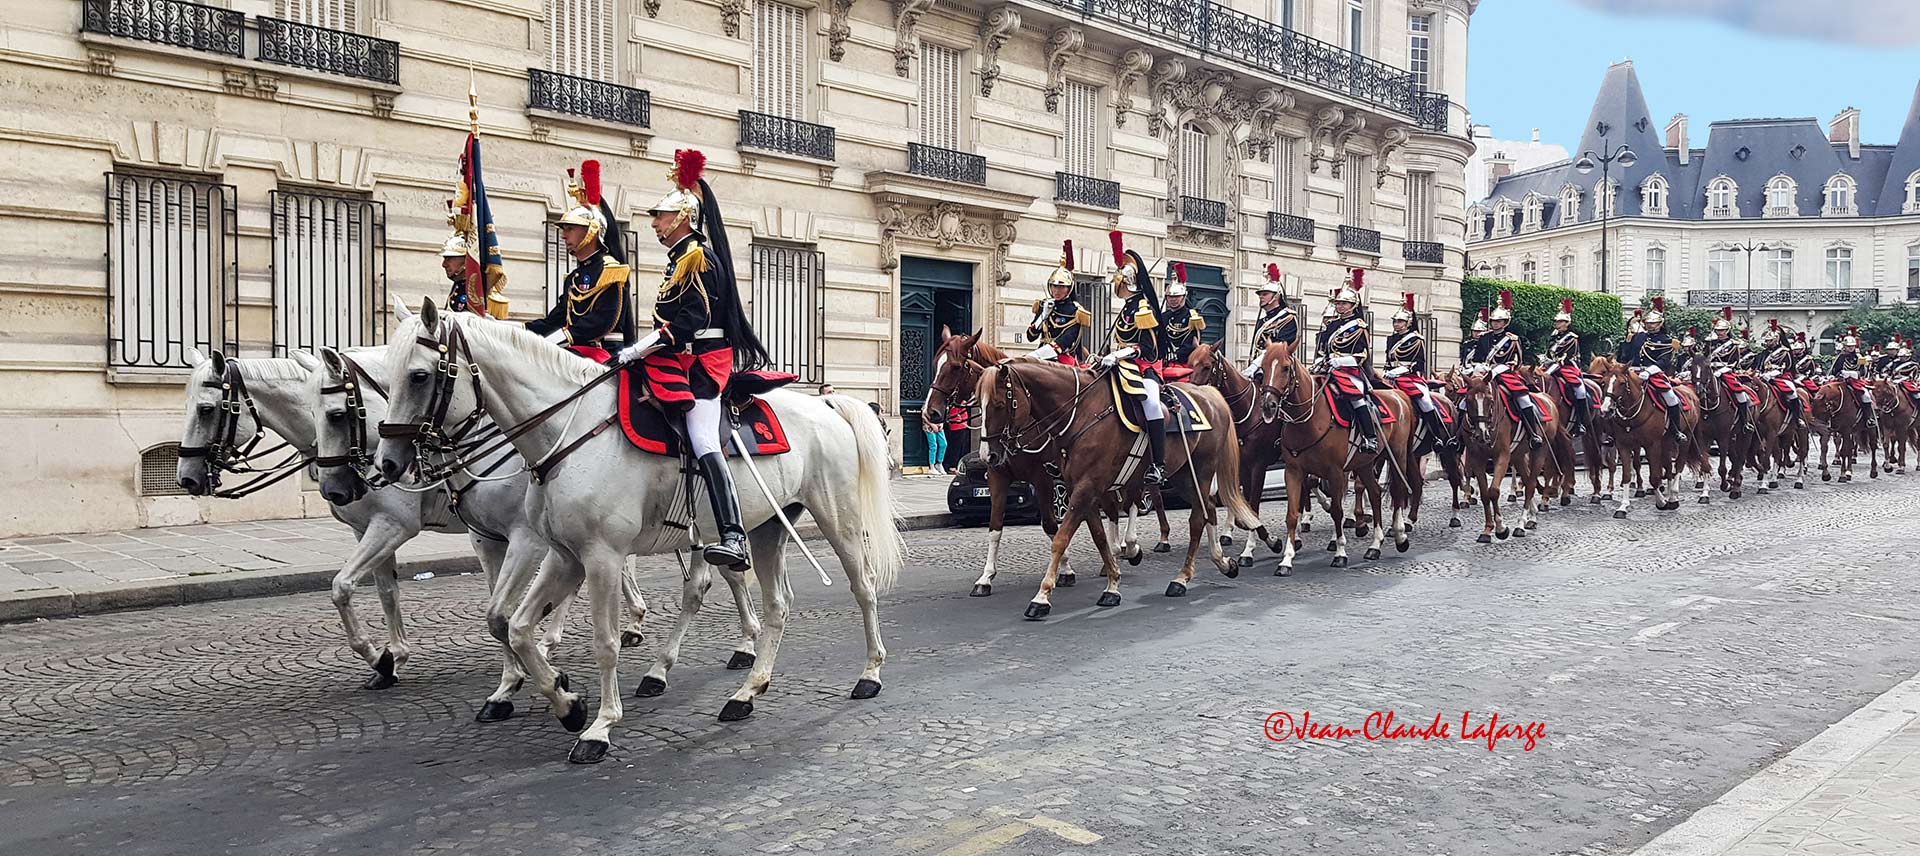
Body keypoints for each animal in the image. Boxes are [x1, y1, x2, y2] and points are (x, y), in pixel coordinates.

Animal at [372, 299, 898, 763]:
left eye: (419, 375)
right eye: (386, 375)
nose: (387, 464)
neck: (568, 432)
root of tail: (827, 404)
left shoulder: (597, 556)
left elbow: (603, 642)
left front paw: (598, 728)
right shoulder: (562, 555)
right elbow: (515, 626)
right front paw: (565, 701)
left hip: (838, 518)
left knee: (863, 587)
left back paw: (870, 674)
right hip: (767, 528)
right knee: (775, 604)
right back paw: (745, 692)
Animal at [975, 355, 1259, 614]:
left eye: (999, 405)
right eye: (979, 405)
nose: (988, 456)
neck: (1082, 413)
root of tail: (1211, 395)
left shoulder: (1084, 487)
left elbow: (1060, 539)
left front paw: (1042, 596)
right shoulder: (1081, 488)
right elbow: (1099, 537)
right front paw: (1112, 583)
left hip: (1200, 471)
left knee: (1198, 518)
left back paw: (1182, 578)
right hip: (1183, 477)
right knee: (1208, 508)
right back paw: (1221, 562)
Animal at [1251, 337, 1420, 571]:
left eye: (1285, 368)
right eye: (1264, 369)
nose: (1268, 406)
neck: (1310, 421)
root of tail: (1399, 396)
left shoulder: (1336, 472)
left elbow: (1337, 511)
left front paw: (1340, 552)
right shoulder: (1293, 471)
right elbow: (1292, 515)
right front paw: (1286, 559)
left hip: (1397, 456)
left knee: (1398, 491)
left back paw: (1401, 536)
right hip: (1365, 463)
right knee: (1375, 493)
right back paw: (1375, 546)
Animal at [1589, 356, 1712, 514]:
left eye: (1622, 383)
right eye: (1604, 382)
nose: (1606, 409)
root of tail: (1691, 392)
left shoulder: (1652, 445)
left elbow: (1654, 477)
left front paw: (1661, 502)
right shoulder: (1624, 446)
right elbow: (1627, 475)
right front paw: (1623, 506)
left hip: (1687, 437)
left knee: (1679, 464)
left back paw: (1674, 497)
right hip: (1666, 442)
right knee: (1669, 467)